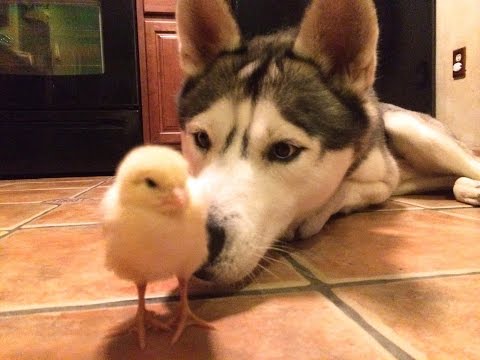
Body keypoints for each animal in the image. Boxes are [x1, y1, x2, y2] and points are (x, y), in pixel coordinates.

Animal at [175, 0, 480, 286]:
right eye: (201, 138)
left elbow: (341, 190)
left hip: (411, 128)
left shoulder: (384, 182)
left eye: (284, 150)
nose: (189, 240)